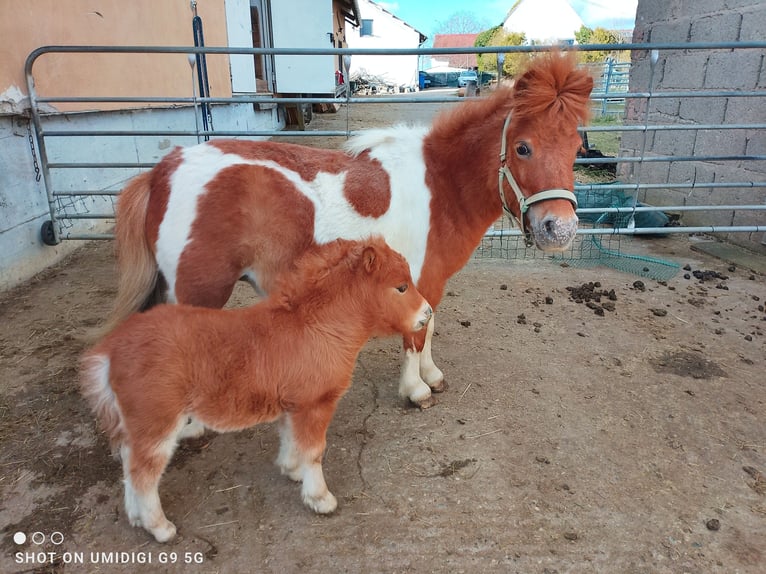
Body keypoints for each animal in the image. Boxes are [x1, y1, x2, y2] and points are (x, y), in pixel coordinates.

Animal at [80, 237, 432, 543]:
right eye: (401, 287)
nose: (427, 313)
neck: (316, 327)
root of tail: (110, 351)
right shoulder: (315, 405)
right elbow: (314, 450)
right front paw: (320, 498)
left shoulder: (294, 404)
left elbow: (292, 440)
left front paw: (292, 471)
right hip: (158, 423)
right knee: (143, 473)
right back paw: (159, 527)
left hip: (138, 425)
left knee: (129, 462)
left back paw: (136, 518)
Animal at [105, 51, 593, 408]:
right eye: (523, 148)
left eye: (575, 147)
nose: (560, 228)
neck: (439, 183)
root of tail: (161, 172)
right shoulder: (416, 279)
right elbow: (416, 334)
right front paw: (416, 390)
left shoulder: (431, 281)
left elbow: (429, 325)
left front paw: (431, 376)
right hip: (197, 292)